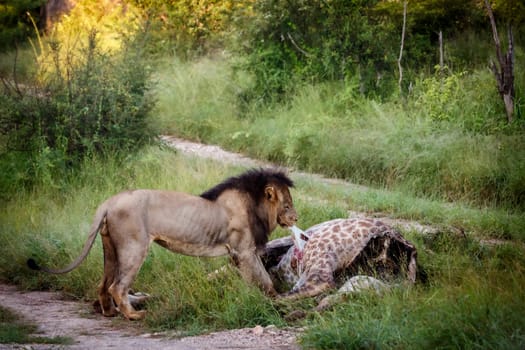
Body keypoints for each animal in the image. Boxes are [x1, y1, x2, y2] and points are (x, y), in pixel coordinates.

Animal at [28, 169, 296, 320]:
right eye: (287, 205)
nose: (295, 217)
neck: (256, 206)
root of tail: (109, 202)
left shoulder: (238, 254)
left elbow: (252, 279)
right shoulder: (245, 251)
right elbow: (264, 279)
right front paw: (274, 299)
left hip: (110, 248)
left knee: (103, 284)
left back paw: (109, 312)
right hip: (134, 246)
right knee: (118, 286)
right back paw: (134, 315)